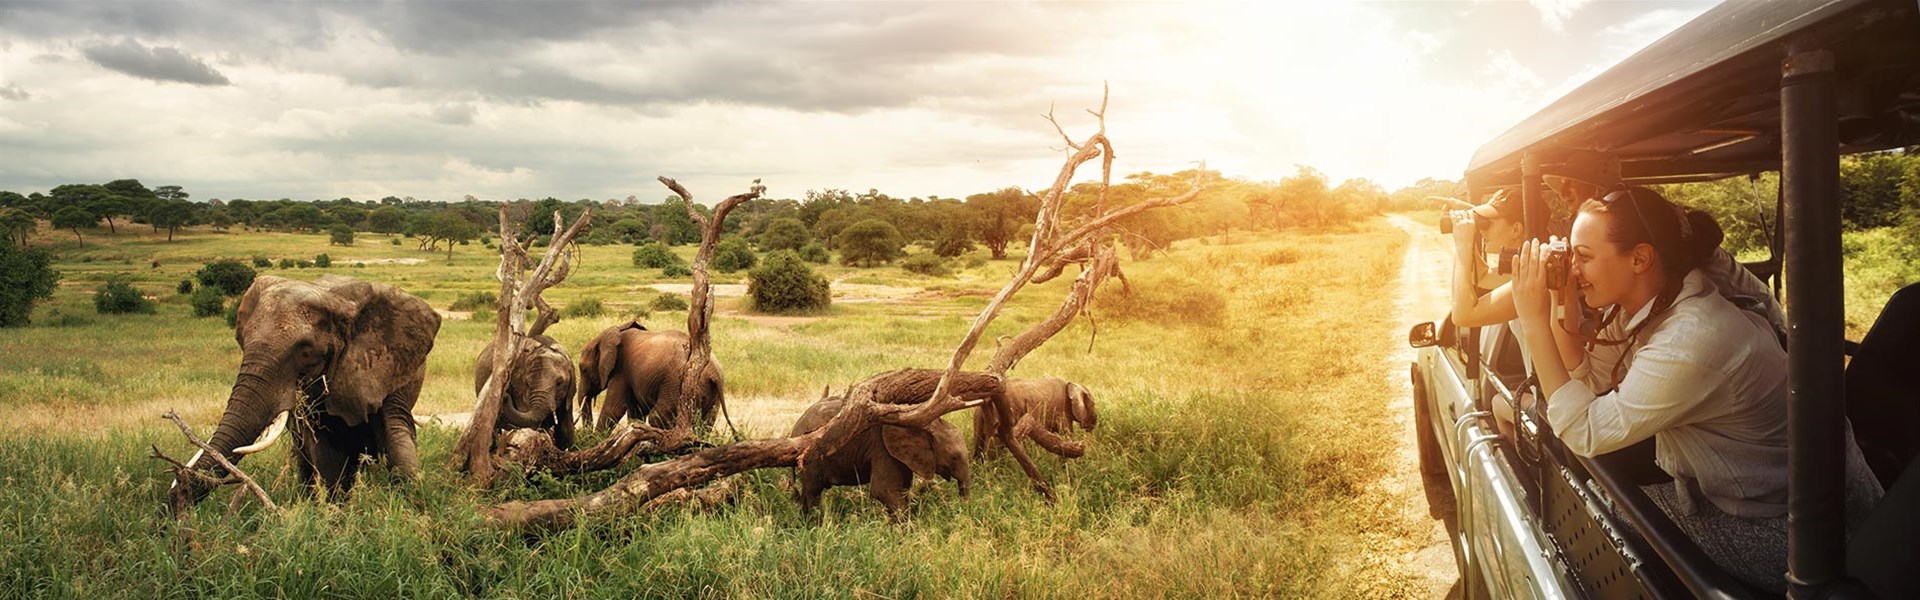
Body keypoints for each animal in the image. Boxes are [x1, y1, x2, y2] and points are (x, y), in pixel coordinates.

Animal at [163, 275, 439, 511]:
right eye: (242, 340)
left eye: (305, 351)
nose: (172, 507)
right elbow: (324, 450)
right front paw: (336, 513)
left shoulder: (389, 368)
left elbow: (397, 432)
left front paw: (410, 505)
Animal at [576, 321, 725, 432]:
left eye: (583, 370)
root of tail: (713, 370)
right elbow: (636, 412)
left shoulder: (620, 371)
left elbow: (613, 410)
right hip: (712, 393)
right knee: (706, 423)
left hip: (676, 383)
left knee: (658, 416)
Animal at [783, 394, 967, 519]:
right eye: (955, 457)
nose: (962, 510)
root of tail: (794, 430)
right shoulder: (883, 449)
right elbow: (883, 490)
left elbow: (902, 490)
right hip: (811, 460)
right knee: (813, 492)